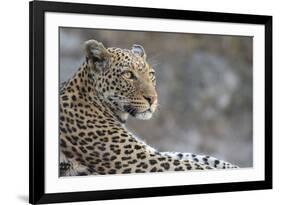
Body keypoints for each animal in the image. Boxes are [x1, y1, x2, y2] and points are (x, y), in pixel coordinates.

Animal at [58, 39, 236, 176]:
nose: (153, 99)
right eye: (128, 75)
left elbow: (195, 157)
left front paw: (232, 166)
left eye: (151, 74)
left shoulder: (147, 151)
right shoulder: (140, 159)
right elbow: (192, 164)